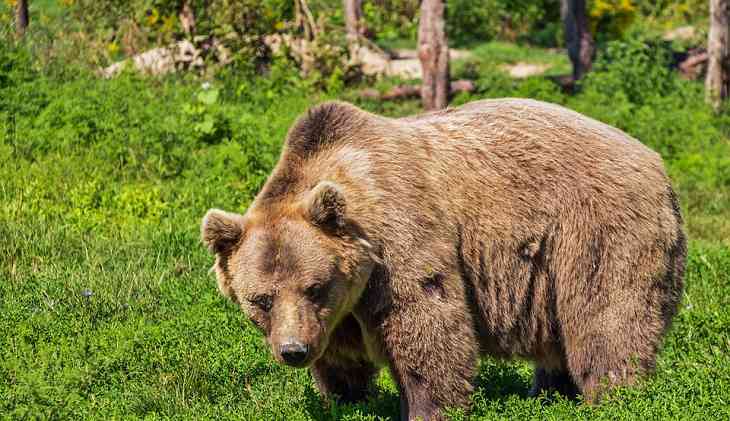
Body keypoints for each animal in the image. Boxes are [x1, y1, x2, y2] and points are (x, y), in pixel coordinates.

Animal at [199, 97, 684, 416]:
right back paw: (549, 391)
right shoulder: (341, 306)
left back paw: (613, 394)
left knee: (607, 318)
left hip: (595, 229)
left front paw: (428, 406)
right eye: (261, 299)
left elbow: (426, 323)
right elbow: (340, 355)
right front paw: (345, 397)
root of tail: (655, 160)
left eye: (314, 287)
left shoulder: (400, 238)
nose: (293, 351)